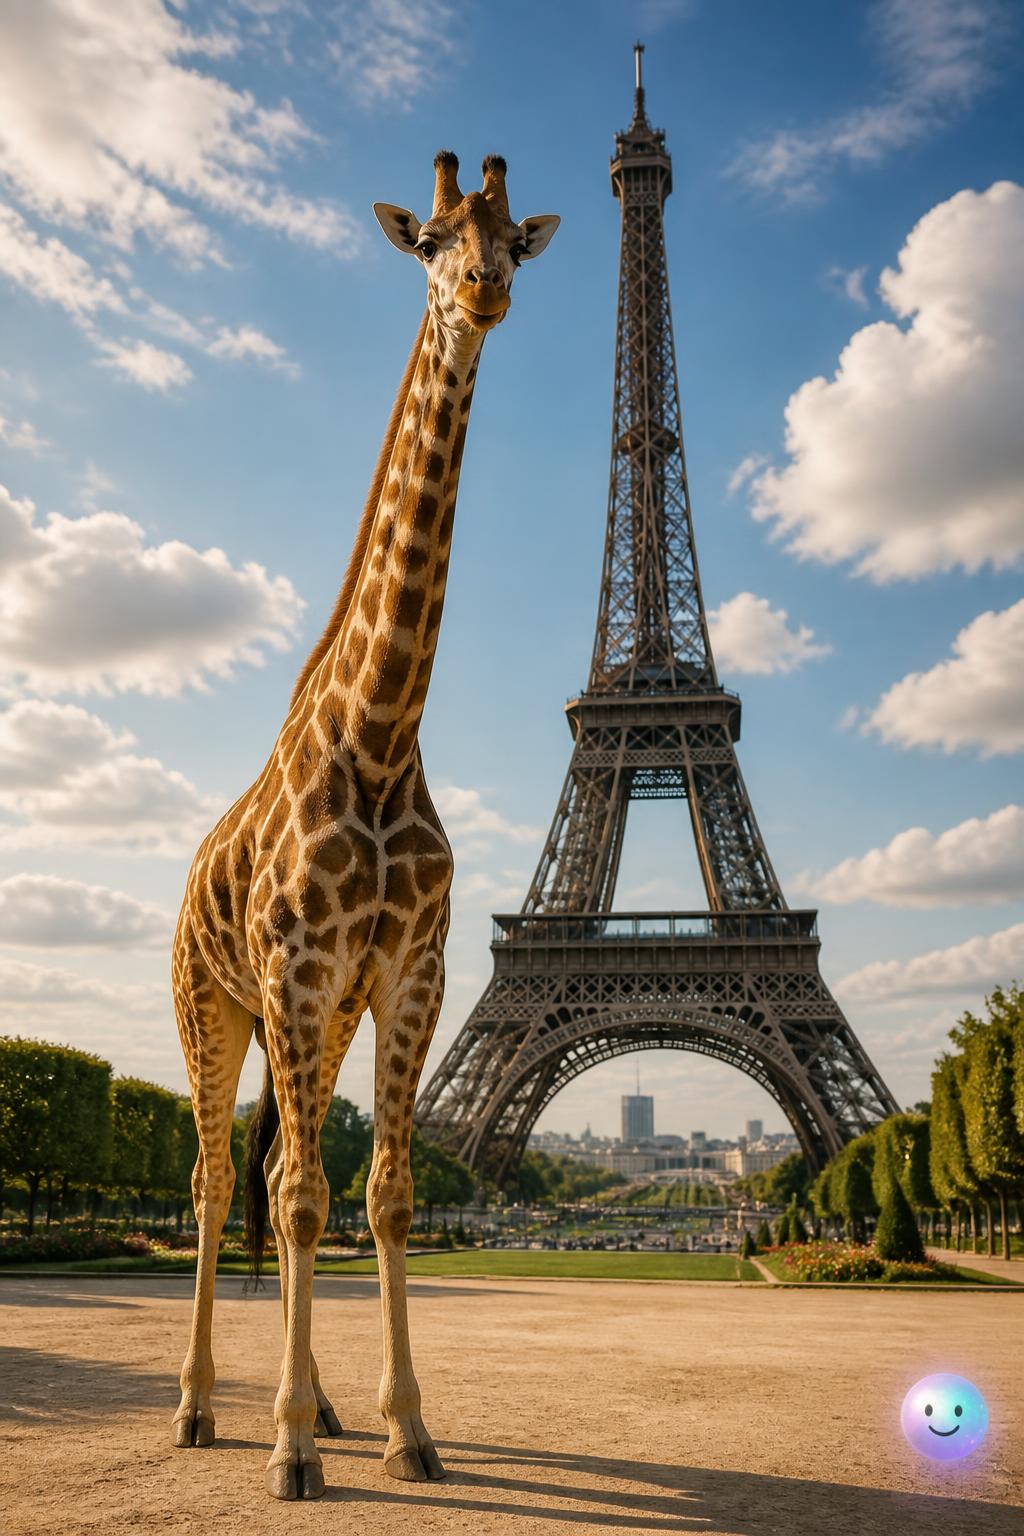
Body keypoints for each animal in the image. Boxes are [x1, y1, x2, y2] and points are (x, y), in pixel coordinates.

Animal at [169, 149, 558, 1501]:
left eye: (516, 236)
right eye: (432, 239)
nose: (483, 288)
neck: (381, 735)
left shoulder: (407, 973)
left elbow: (379, 1195)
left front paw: (403, 1426)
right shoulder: (295, 966)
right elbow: (292, 1199)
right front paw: (286, 1443)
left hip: (318, 1021)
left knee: (295, 1177)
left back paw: (328, 1405)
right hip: (212, 1005)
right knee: (218, 1180)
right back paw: (199, 1407)